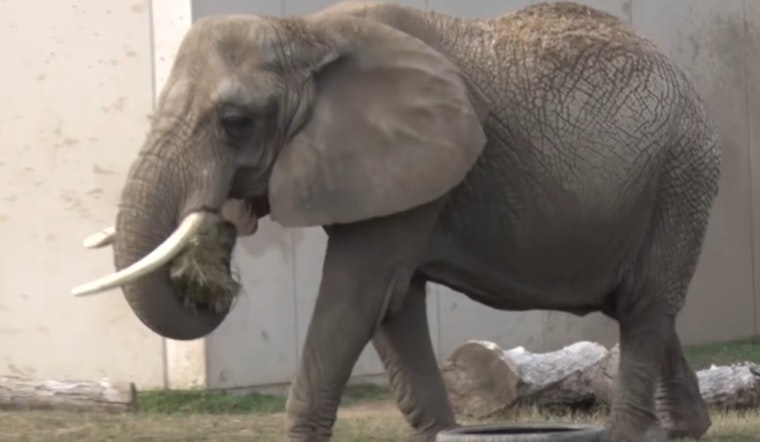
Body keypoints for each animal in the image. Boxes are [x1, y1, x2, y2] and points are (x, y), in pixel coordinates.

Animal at [72, 1, 721, 441]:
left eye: (236, 122)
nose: (218, 243)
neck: (305, 33)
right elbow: (392, 305)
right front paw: (441, 433)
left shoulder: (411, 166)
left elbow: (357, 295)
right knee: (640, 308)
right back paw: (685, 429)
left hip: (681, 177)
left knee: (644, 308)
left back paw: (632, 435)